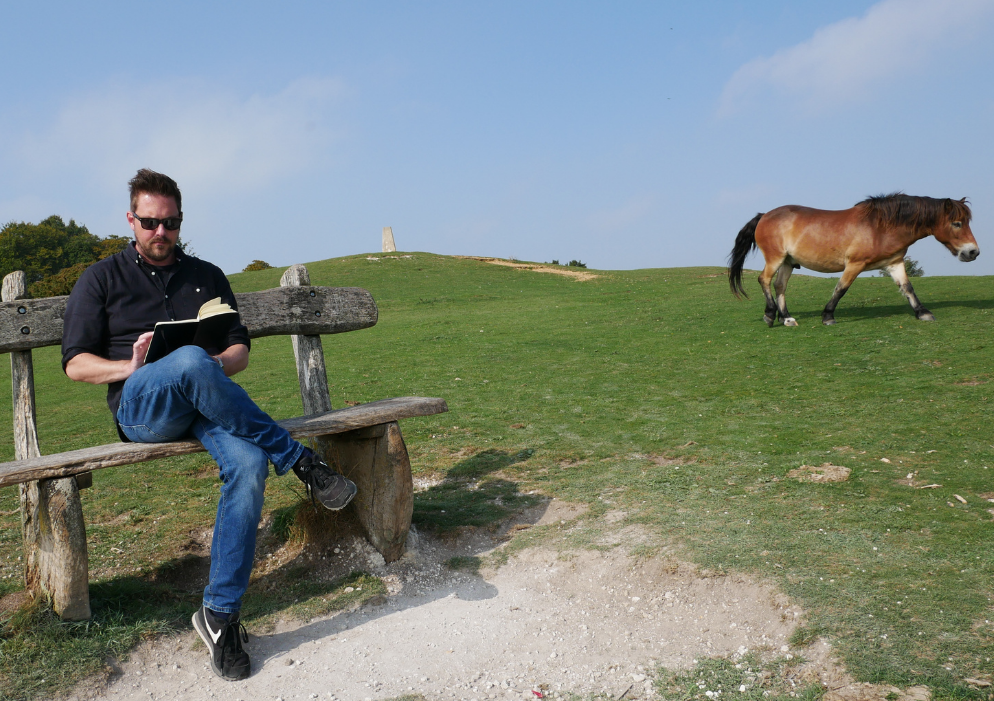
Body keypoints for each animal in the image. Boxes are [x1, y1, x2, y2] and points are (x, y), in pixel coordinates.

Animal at [724, 194, 972, 326]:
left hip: (787, 262)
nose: (972, 252)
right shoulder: (855, 265)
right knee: (764, 280)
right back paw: (769, 315)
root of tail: (764, 215)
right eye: (957, 223)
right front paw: (828, 316)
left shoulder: (894, 263)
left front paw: (923, 312)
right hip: (775, 259)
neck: (879, 226)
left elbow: (908, 288)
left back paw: (786, 318)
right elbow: (841, 288)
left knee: (780, 285)